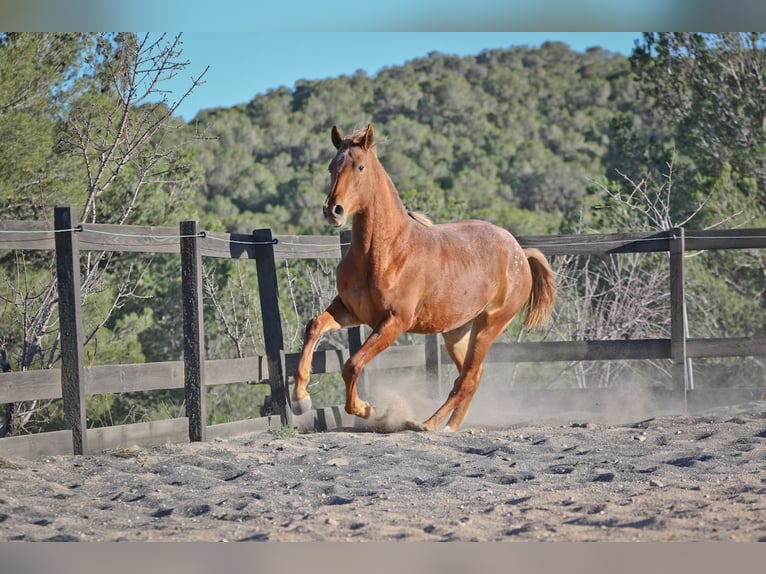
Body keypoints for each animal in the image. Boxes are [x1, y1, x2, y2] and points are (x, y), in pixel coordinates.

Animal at [292, 126, 556, 432]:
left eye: (359, 167)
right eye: (331, 167)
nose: (333, 210)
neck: (387, 252)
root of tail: (520, 254)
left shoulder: (394, 322)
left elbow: (352, 365)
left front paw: (366, 409)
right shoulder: (350, 311)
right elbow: (314, 327)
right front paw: (300, 400)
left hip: (488, 326)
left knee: (467, 377)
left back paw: (428, 424)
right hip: (456, 331)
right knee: (472, 375)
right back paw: (449, 425)